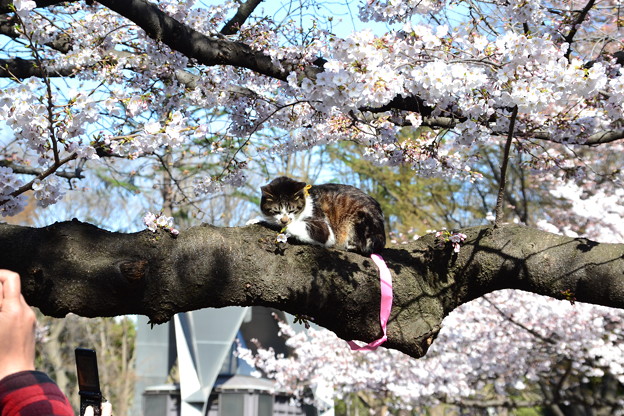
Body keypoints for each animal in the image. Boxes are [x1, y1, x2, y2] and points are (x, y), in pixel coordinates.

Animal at [258, 175, 386, 255]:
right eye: (276, 211)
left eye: (291, 210)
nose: (284, 220)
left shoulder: (324, 226)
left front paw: (288, 227)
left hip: (360, 218)